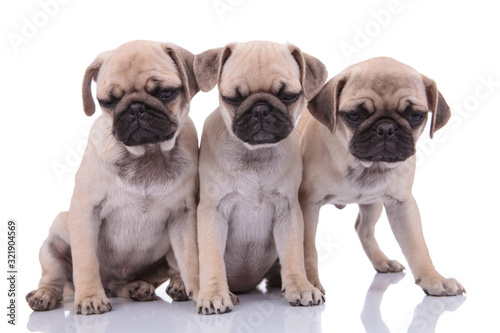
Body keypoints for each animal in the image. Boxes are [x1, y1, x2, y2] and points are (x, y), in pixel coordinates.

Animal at [192, 40, 328, 312]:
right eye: (233, 98)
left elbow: (293, 254)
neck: (254, 155)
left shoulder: (289, 211)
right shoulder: (212, 212)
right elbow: (211, 258)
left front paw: (300, 287)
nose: (261, 110)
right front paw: (214, 294)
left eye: (289, 96)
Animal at [296, 56, 464, 296]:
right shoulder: (308, 205)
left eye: (415, 116)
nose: (386, 128)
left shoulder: (402, 203)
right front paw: (310, 282)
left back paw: (381, 261)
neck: (364, 165)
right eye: (354, 116)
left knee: (363, 229)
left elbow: (417, 245)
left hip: (373, 204)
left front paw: (433, 279)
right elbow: (308, 249)